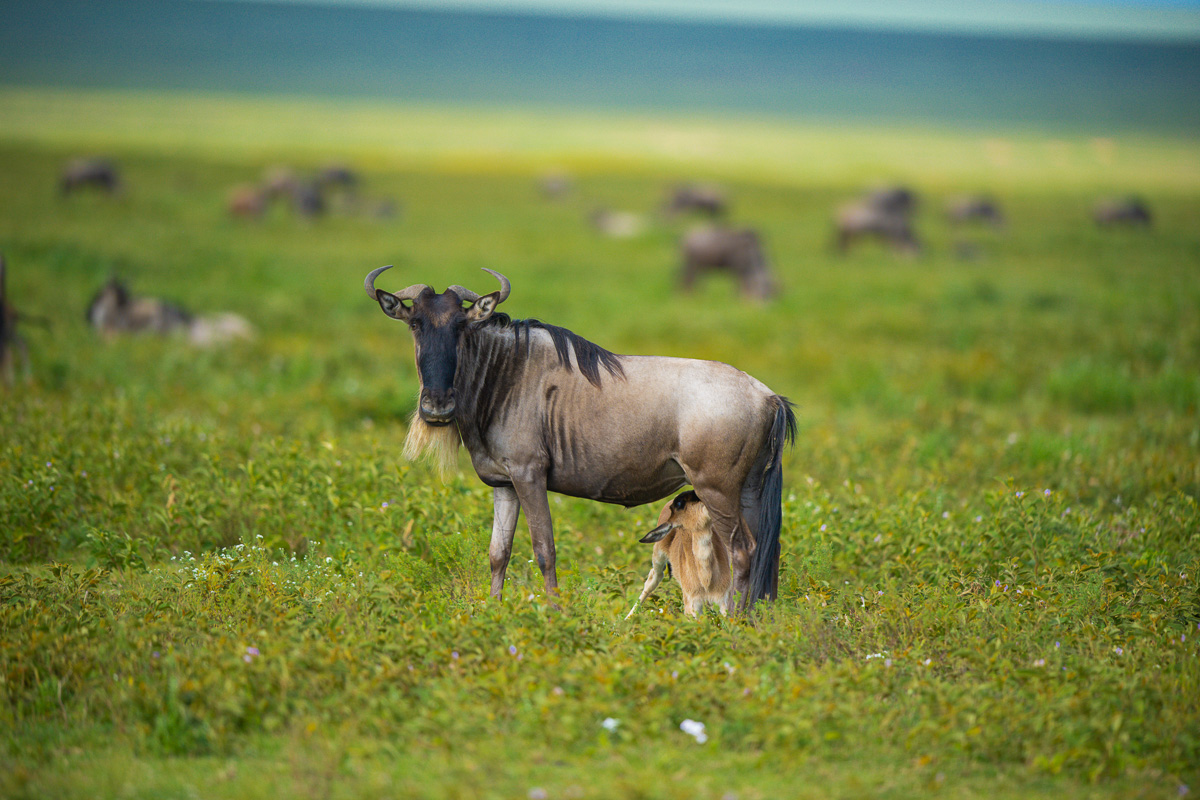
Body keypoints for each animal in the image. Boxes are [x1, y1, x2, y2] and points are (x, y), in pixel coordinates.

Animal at [365, 266, 795, 611]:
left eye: (460, 326)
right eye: (415, 324)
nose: (437, 406)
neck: (503, 377)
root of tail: (768, 396)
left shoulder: (529, 475)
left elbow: (544, 549)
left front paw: (556, 613)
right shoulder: (504, 483)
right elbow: (498, 552)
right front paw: (494, 611)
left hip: (716, 489)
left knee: (742, 551)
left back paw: (735, 619)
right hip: (749, 490)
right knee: (765, 551)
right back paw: (757, 618)